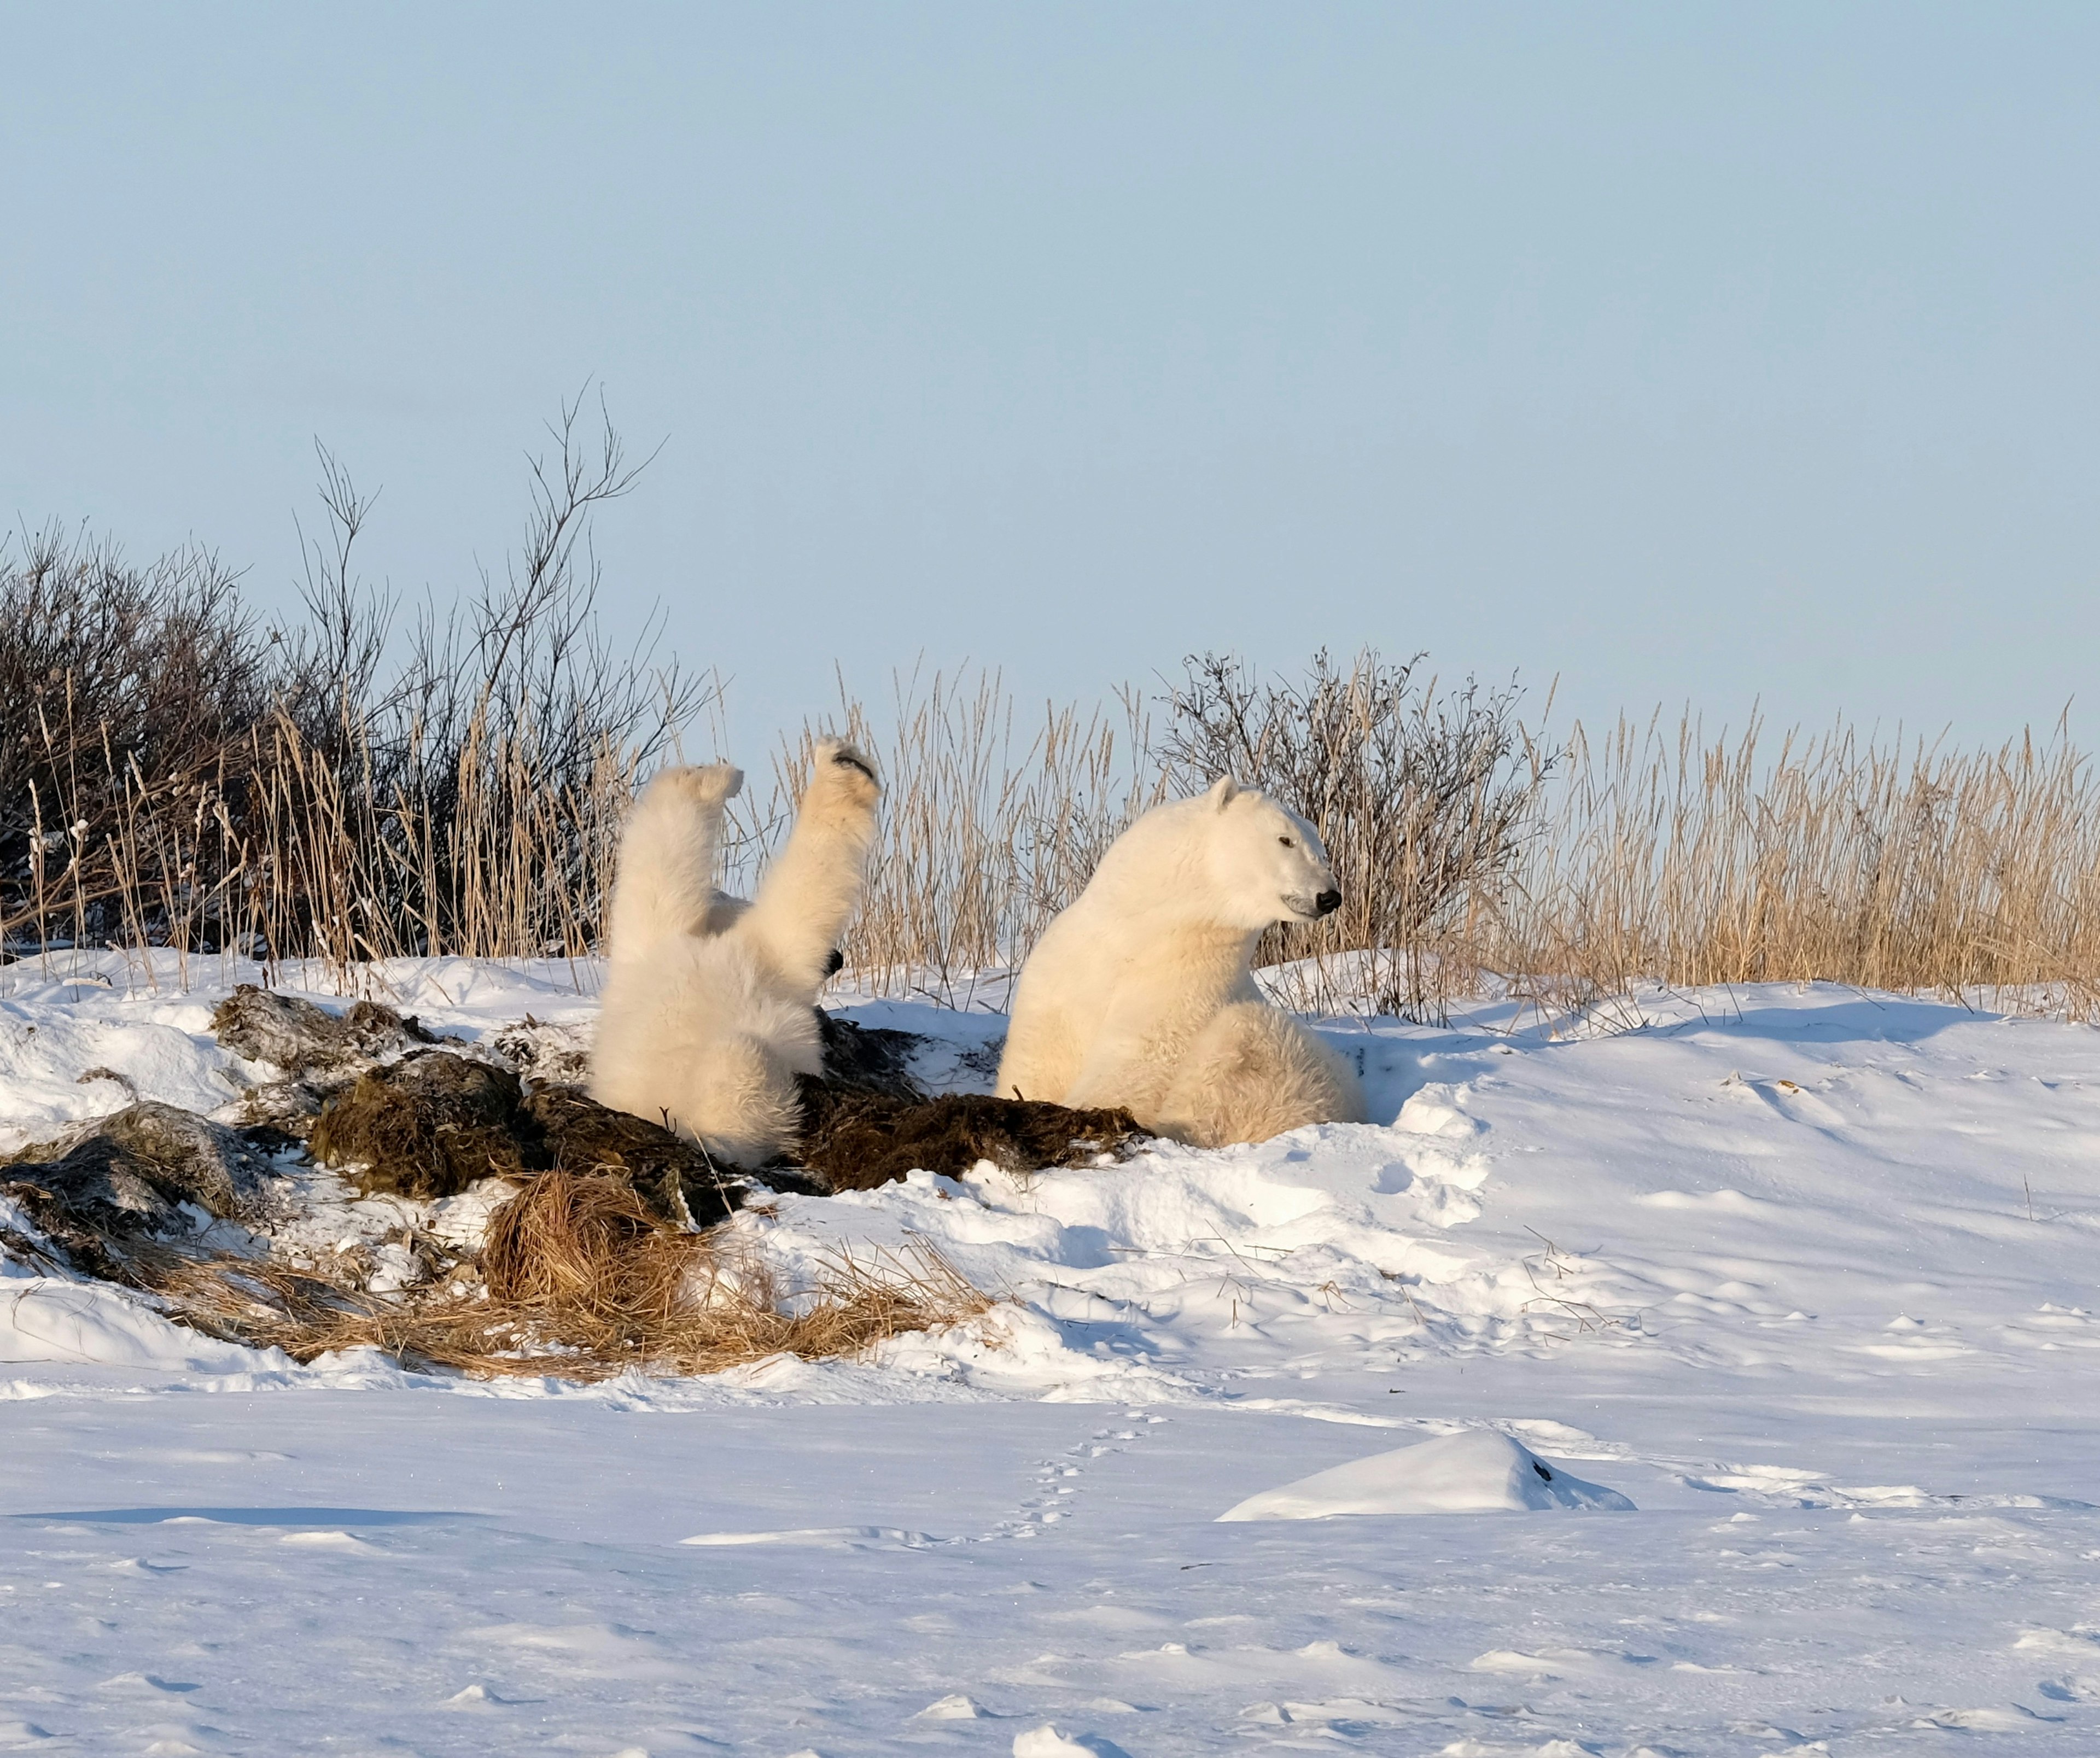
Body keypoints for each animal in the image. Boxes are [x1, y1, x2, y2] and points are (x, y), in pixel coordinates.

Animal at [592, 739, 878, 1167]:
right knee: (740, 1064)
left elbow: (656, 858)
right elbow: (806, 898)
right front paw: (843, 767)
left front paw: (714, 777)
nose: (838, 959)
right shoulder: (767, 954)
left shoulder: (649, 939)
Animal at [995, 777, 1369, 1142]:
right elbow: (1038, 1058)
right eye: (1286, 839)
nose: (1329, 896)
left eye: (1320, 850)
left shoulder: (1187, 982)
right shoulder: (1062, 976)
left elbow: (1142, 1063)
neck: (1144, 934)